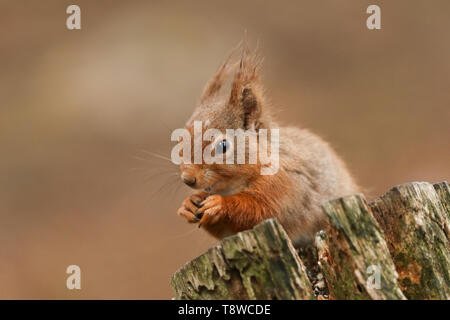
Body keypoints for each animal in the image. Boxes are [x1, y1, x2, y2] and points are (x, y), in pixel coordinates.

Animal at [176, 45, 358, 245]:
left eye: (223, 146)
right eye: (180, 142)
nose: (188, 179)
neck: (233, 185)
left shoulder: (285, 185)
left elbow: (263, 210)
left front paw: (220, 204)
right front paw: (189, 204)